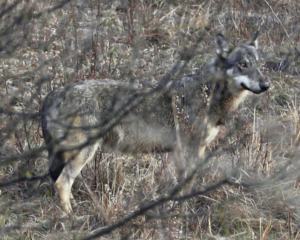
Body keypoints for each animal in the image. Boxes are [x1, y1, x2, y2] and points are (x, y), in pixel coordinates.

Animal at [41, 31, 270, 214]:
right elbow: (187, 184)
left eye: (258, 65)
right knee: (62, 183)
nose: (266, 85)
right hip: (84, 153)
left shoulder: (185, 150)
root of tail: (56, 93)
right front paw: (183, 211)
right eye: (242, 65)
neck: (210, 94)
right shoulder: (188, 148)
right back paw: (71, 217)